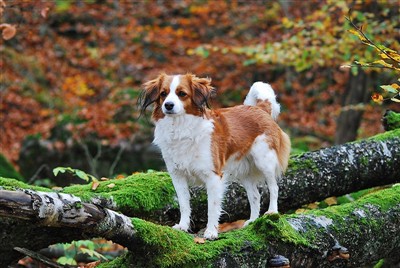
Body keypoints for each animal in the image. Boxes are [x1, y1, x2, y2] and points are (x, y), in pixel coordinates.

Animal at [141, 73, 290, 239]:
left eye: (182, 94)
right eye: (163, 94)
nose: (168, 105)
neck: (181, 128)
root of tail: (259, 108)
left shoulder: (212, 176)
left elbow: (212, 206)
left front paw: (211, 231)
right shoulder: (177, 175)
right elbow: (184, 203)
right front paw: (183, 226)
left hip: (264, 161)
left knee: (274, 187)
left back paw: (272, 212)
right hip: (243, 171)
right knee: (255, 196)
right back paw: (252, 221)